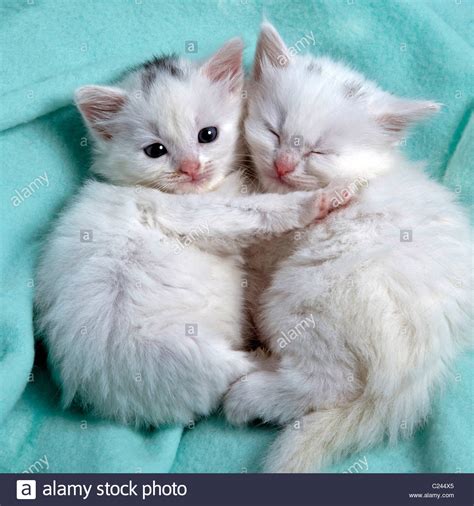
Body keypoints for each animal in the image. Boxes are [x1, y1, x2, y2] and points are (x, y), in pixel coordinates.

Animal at [224, 23, 472, 472]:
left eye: (319, 150)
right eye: (273, 130)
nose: (284, 164)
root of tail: (422, 370)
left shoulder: (270, 259)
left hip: (312, 290)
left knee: (330, 384)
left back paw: (249, 394)